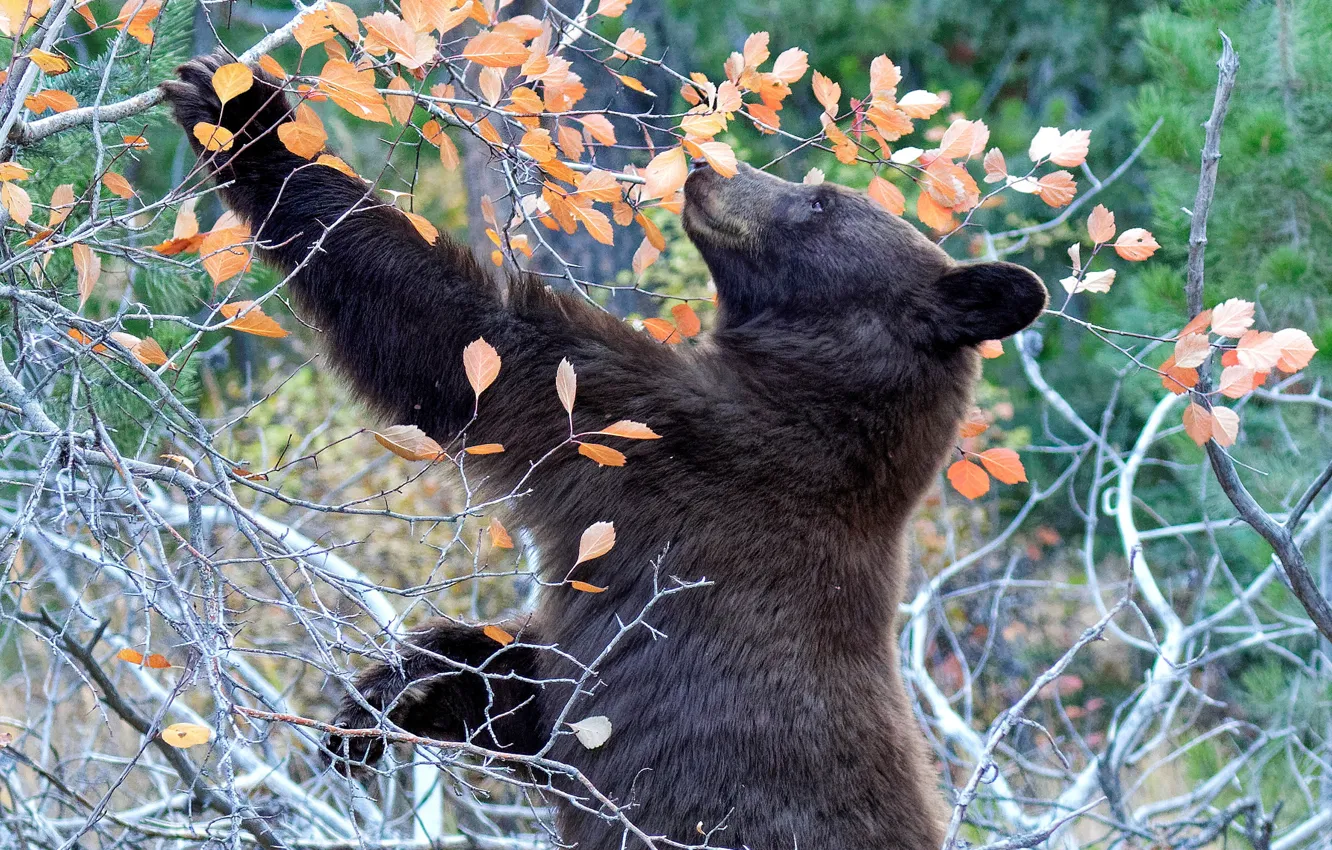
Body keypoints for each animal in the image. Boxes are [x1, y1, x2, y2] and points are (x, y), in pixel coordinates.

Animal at [163, 53, 1047, 850]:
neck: (819, 401)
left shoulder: (668, 445)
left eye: (822, 201)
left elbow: (466, 339)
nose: (704, 169)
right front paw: (400, 690)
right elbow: (536, 695)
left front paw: (243, 114)